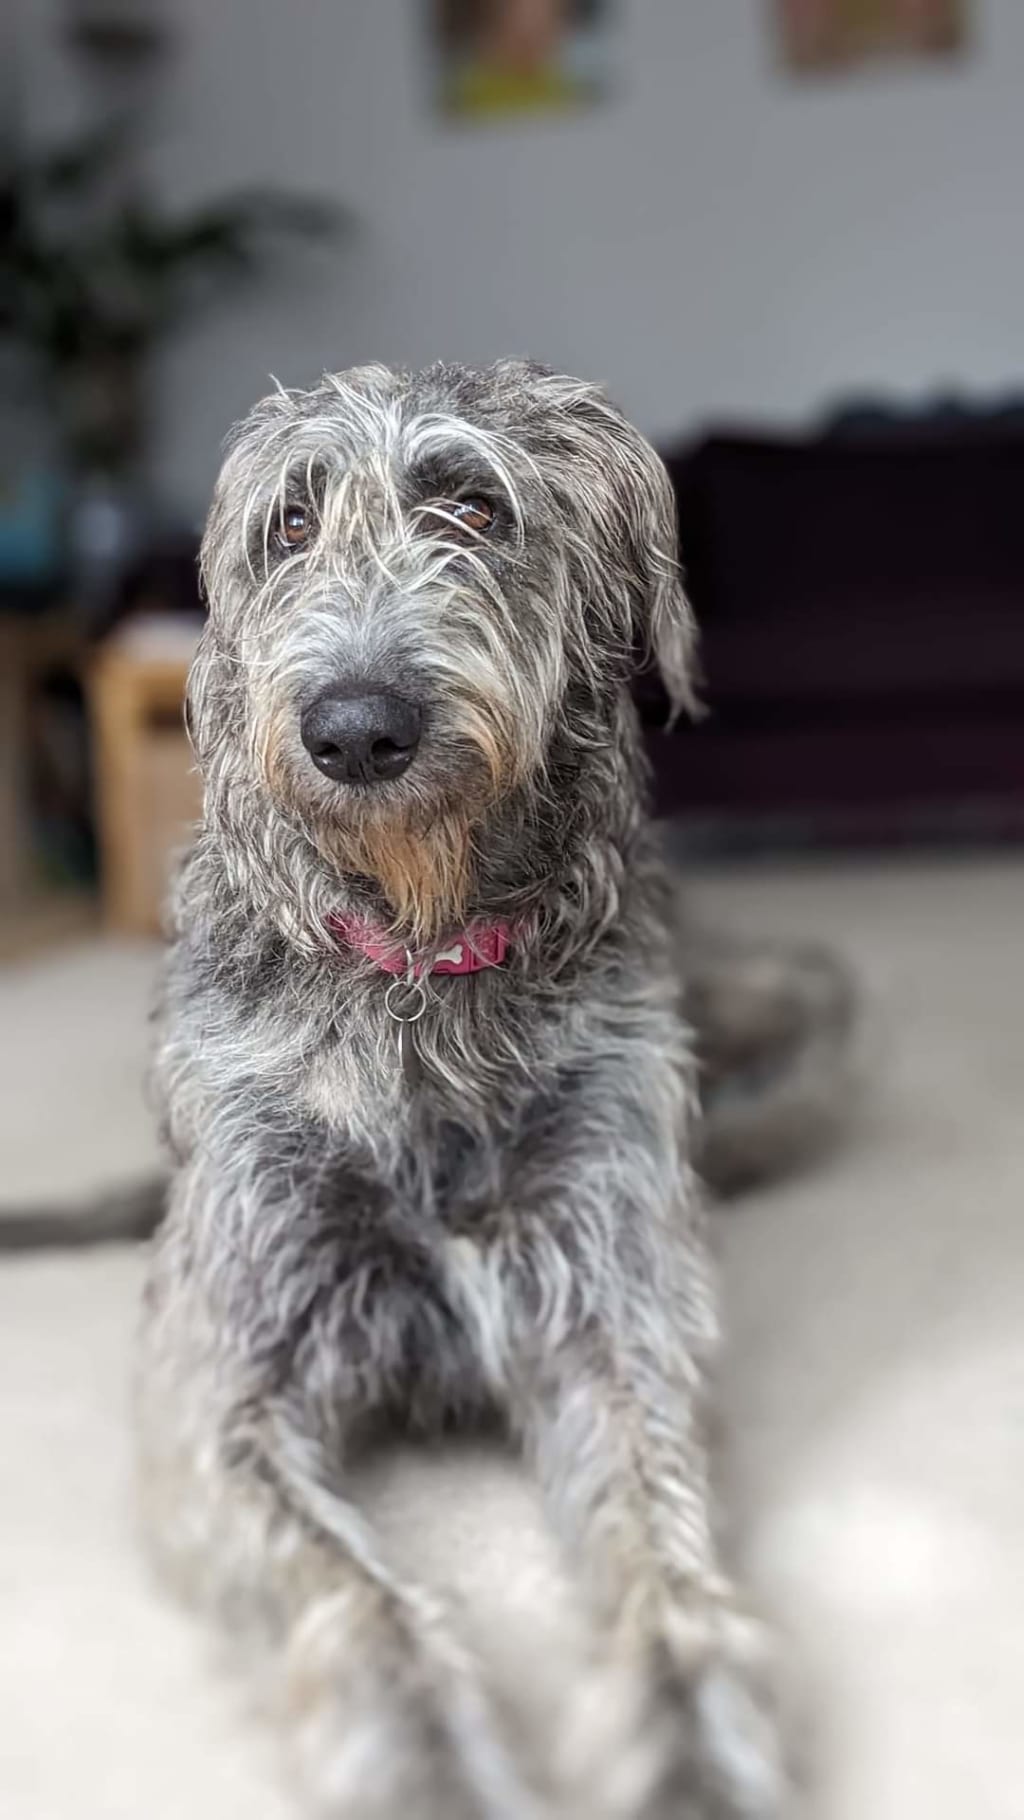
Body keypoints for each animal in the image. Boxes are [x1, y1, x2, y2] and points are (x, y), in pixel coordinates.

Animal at [137, 360, 785, 1819]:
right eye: (290, 526)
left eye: (477, 509)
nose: (357, 730)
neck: (421, 970)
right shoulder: (223, 1392)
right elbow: (359, 1603)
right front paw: (432, 1764)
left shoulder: (609, 1307)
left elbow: (659, 1547)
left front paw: (690, 1740)